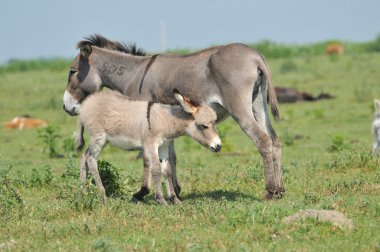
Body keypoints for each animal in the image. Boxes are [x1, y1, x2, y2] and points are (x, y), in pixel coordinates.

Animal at [78, 89, 223, 204]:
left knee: (84, 156)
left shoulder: (164, 147)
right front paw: (161, 200)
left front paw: (174, 199)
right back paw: (103, 196)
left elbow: (167, 170)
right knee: (91, 159)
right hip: (98, 139)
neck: (166, 120)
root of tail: (87, 103)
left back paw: (83, 192)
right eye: (204, 126)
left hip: (99, 141)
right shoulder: (151, 145)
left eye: (214, 122)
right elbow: (157, 169)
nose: (218, 146)